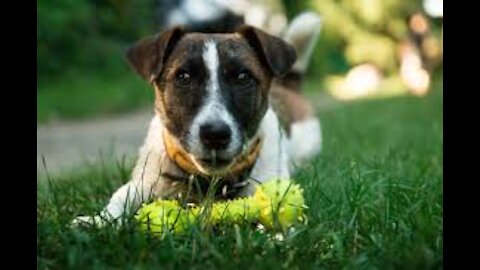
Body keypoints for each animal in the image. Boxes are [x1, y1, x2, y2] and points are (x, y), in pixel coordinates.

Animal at [73, 11, 322, 227]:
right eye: (183, 76)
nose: (215, 135)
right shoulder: (143, 183)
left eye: (243, 77)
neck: (208, 180)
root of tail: (288, 85)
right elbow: (119, 197)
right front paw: (97, 221)